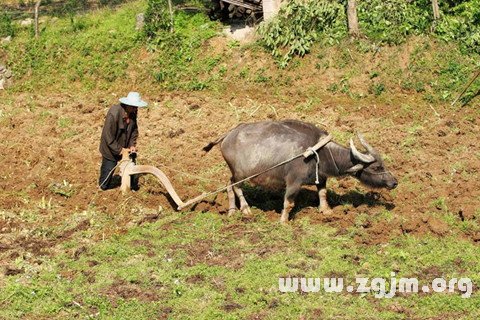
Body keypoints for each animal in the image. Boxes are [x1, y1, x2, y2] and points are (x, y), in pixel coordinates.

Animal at [202, 120, 398, 222]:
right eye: (377, 167)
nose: (394, 182)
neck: (320, 152)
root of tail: (228, 135)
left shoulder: (322, 178)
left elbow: (323, 193)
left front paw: (326, 211)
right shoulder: (293, 182)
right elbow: (288, 202)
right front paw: (283, 221)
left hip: (234, 173)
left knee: (228, 185)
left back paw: (232, 210)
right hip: (241, 175)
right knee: (236, 187)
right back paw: (245, 209)